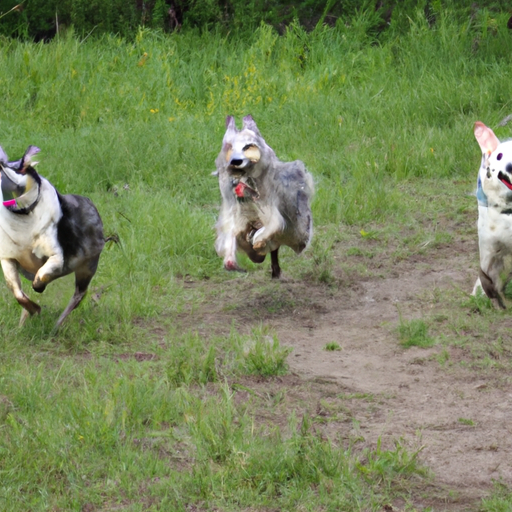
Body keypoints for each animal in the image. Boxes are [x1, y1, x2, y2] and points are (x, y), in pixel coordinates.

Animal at [0, 144, 105, 328]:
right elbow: (17, 292)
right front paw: (33, 309)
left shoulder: (56, 257)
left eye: (22, 167)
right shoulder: (7, 258)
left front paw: (39, 289)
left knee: (78, 295)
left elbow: (41, 276)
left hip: (87, 265)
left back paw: (56, 327)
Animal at [214, 115, 314, 280]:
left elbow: (273, 225)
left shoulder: (271, 209)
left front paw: (258, 240)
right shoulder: (232, 214)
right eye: (230, 147)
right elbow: (230, 241)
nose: (235, 161)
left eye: (247, 147)